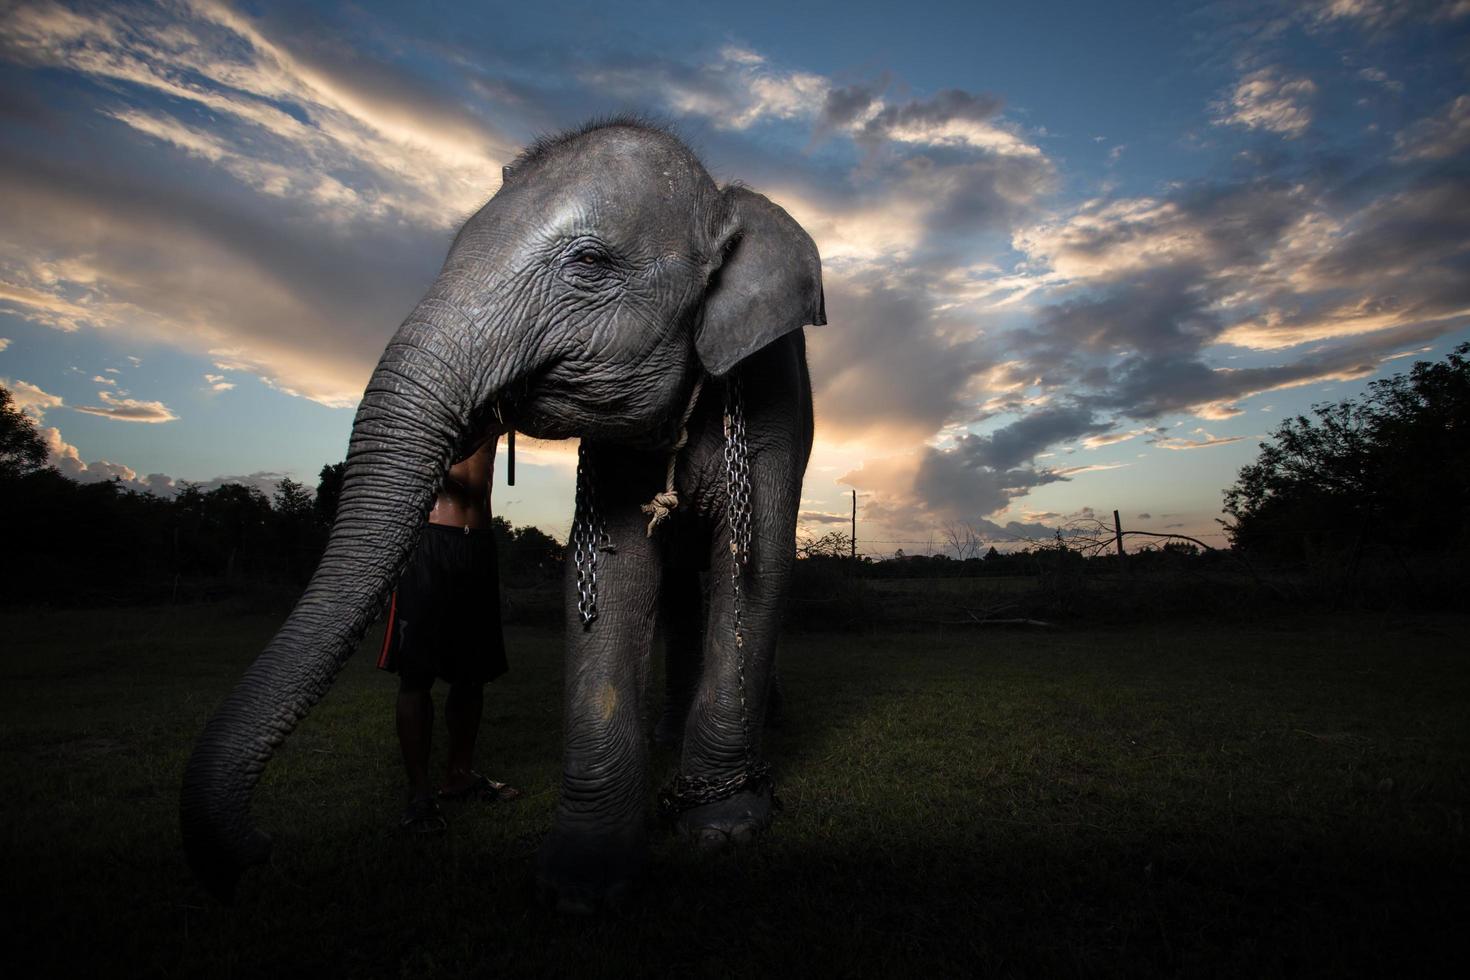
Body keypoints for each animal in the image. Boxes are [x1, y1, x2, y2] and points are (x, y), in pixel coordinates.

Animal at [176, 119, 823, 916]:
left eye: (589, 262)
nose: (257, 850)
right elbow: (610, 575)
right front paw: (581, 879)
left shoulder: (772, 401)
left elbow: (754, 565)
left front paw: (723, 827)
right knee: (676, 594)